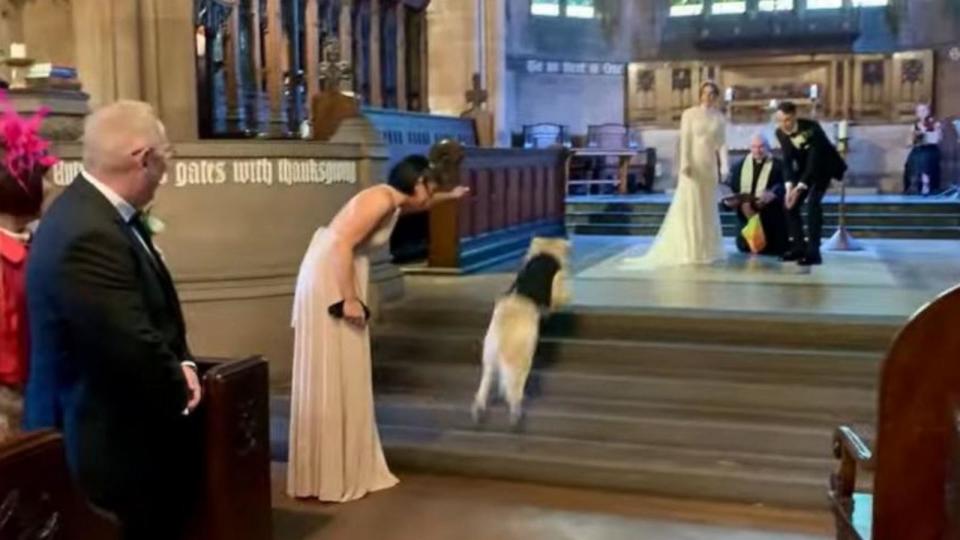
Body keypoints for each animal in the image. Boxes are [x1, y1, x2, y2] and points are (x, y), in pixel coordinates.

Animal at [470, 236, 568, 426]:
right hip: (519, 362)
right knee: (513, 390)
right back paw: (516, 413)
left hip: (489, 357)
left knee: (484, 385)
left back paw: (479, 410)